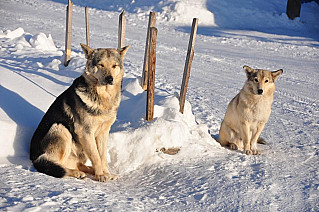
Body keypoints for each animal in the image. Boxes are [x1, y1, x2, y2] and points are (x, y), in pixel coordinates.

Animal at [30, 43, 130, 182]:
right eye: (101, 65)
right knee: (57, 165)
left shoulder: (103, 132)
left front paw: (106, 173)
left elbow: (102, 156)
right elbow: (96, 156)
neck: (102, 97)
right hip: (60, 129)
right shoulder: (85, 132)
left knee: (76, 164)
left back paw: (89, 170)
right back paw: (77, 173)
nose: (109, 79)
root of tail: (34, 159)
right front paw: (101, 175)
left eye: (114, 66)